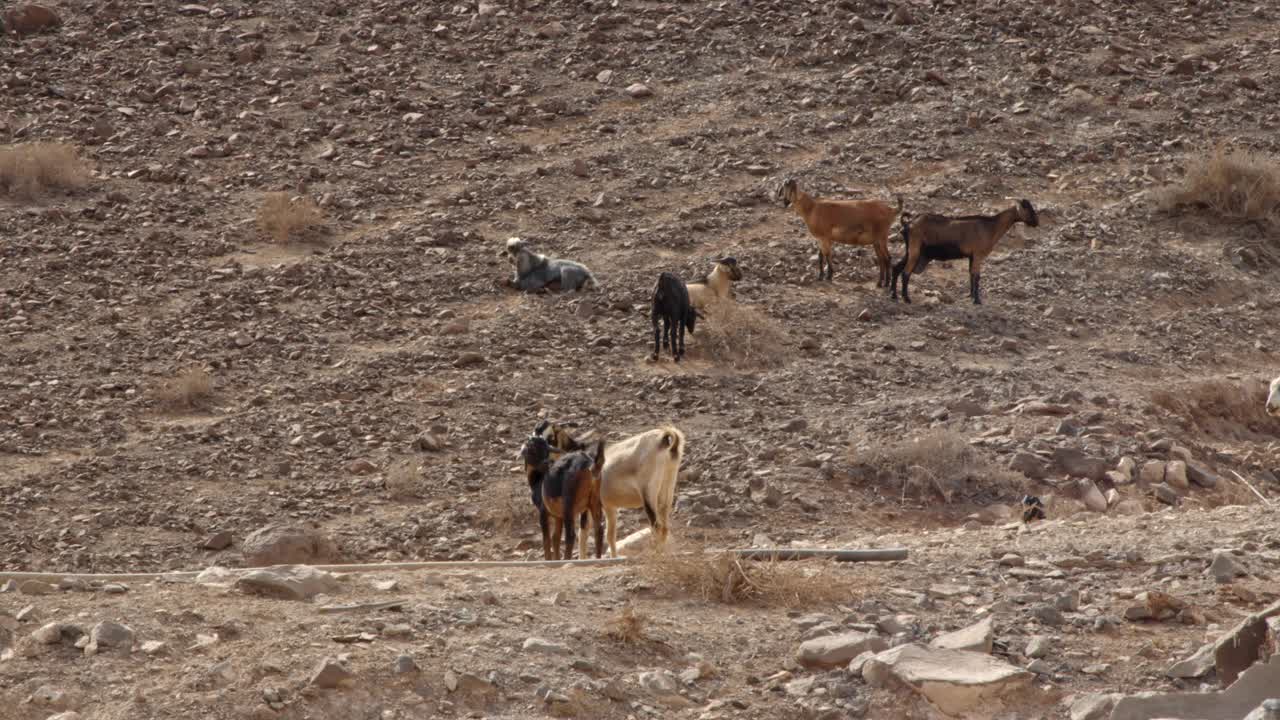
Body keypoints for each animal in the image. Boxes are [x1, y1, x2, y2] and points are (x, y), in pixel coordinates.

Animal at [890, 197, 1039, 303]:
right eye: (1027, 208)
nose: (1036, 222)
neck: (991, 227)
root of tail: (908, 224)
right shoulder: (978, 255)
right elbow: (977, 276)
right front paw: (977, 300)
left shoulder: (972, 256)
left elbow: (971, 274)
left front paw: (970, 295)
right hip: (915, 249)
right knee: (905, 272)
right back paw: (906, 298)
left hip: (912, 251)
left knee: (896, 268)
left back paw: (894, 295)